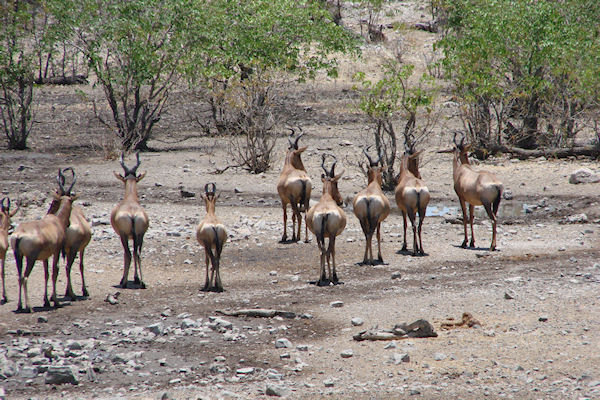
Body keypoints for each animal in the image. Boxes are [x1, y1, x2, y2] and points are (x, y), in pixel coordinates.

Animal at [10, 170, 77, 312]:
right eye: (72, 203)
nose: (69, 223)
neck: (56, 221)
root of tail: (18, 235)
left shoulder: (46, 255)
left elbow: (46, 274)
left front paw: (46, 301)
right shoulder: (57, 251)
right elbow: (55, 271)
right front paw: (56, 302)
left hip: (18, 256)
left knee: (19, 277)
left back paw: (19, 305)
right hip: (31, 258)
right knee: (25, 277)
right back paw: (29, 307)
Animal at [48, 166, 92, 300]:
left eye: (54, 202)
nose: (48, 213)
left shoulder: (65, 249)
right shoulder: (80, 248)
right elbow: (81, 266)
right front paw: (84, 291)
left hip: (59, 250)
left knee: (58, 268)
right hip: (72, 249)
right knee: (68, 267)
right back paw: (72, 294)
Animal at [112, 152, 150, 288]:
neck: (130, 200)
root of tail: (132, 214)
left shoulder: (122, 235)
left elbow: (125, 254)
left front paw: (124, 279)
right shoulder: (137, 235)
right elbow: (135, 253)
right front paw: (136, 278)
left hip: (124, 235)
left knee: (128, 254)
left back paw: (123, 283)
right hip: (140, 235)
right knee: (137, 253)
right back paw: (142, 282)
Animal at [308, 155, 344, 286]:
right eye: (336, 183)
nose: (341, 201)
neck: (326, 198)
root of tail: (324, 212)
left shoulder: (322, 235)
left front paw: (324, 276)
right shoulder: (334, 235)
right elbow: (333, 251)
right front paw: (334, 276)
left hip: (318, 234)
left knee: (321, 251)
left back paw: (320, 279)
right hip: (332, 235)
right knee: (328, 251)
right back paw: (332, 279)